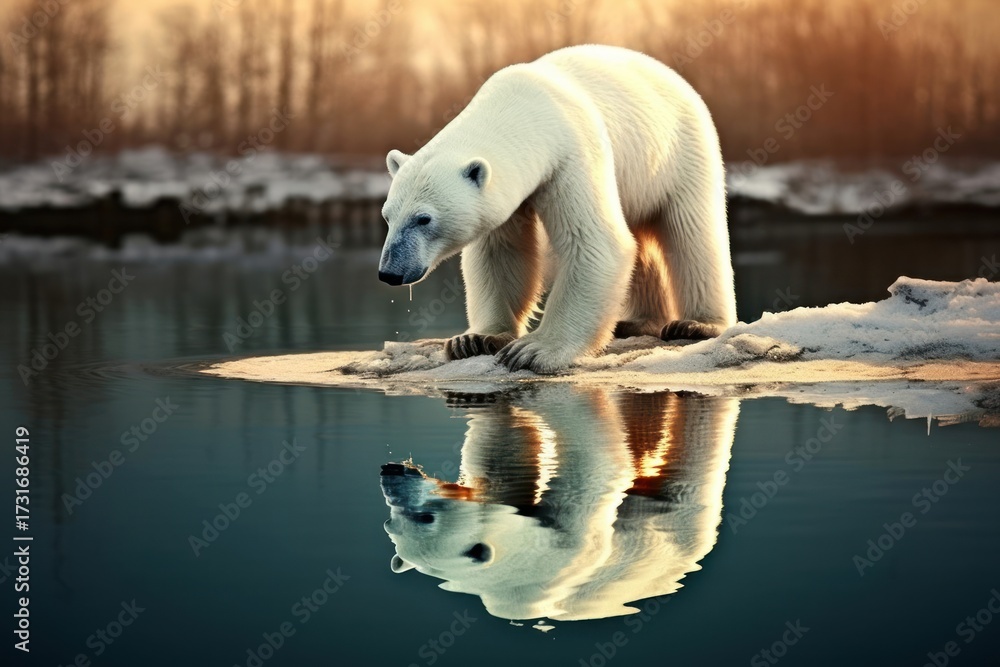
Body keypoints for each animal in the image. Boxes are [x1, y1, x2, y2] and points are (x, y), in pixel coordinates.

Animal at [379, 44, 736, 374]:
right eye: (387, 216)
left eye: (424, 219)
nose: (390, 273)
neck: (522, 108)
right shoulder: (511, 191)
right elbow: (500, 253)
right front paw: (475, 339)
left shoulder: (571, 155)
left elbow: (594, 243)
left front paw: (532, 350)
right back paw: (637, 321)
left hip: (680, 151)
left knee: (692, 232)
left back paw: (696, 324)